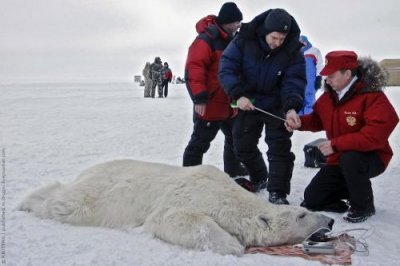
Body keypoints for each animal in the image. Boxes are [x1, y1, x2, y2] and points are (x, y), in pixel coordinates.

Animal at [17, 159, 332, 255]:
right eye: (302, 214)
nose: (329, 220)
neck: (229, 195)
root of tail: (87, 171)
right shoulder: (189, 195)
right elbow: (172, 219)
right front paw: (232, 245)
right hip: (100, 195)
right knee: (66, 203)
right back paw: (26, 201)